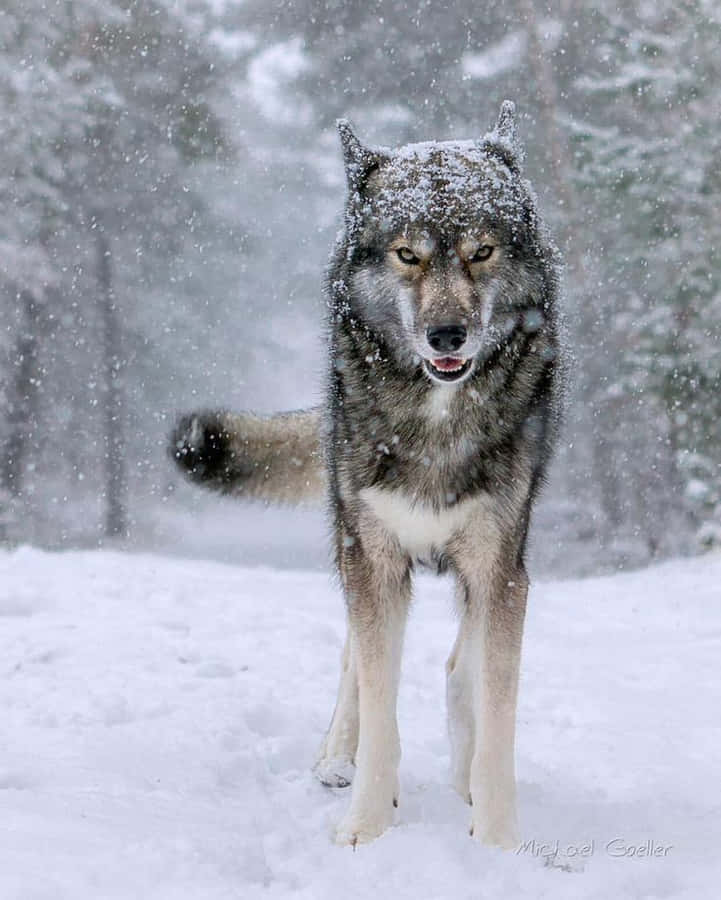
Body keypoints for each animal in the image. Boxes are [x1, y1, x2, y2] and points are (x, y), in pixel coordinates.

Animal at [171, 101, 564, 849]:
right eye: (408, 255)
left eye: (481, 252)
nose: (447, 336)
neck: (436, 420)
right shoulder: (373, 558)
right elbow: (380, 702)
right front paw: (366, 826)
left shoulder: (501, 569)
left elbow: (493, 710)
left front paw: (498, 839)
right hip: (352, 540)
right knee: (355, 658)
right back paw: (335, 759)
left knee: (456, 668)